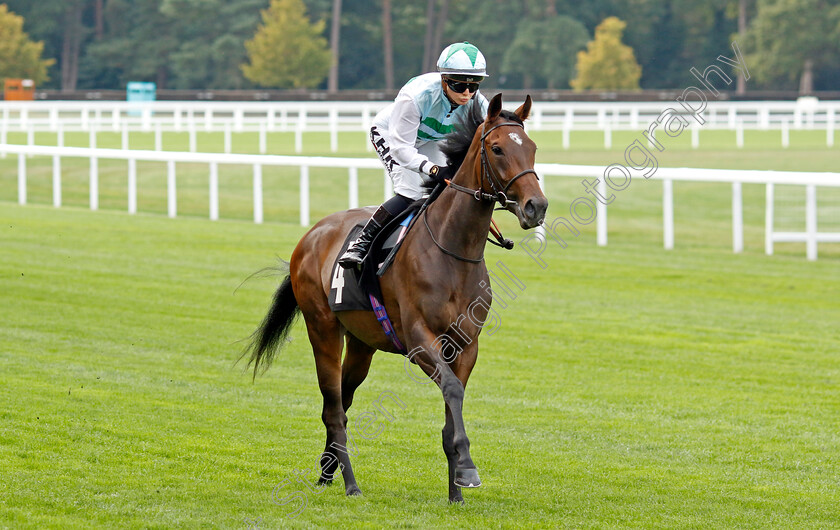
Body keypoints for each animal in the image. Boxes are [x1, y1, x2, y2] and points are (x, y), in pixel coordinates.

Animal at [243, 93, 548, 502]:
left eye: (531, 148)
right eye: (497, 148)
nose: (536, 207)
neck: (453, 251)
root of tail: (311, 234)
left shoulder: (465, 343)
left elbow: (453, 405)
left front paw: (456, 490)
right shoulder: (419, 339)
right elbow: (452, 390)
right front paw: (468, 470)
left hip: (361, 343)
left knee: (343, 399)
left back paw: (327, 472)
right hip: (322, 328)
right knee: (333, 409)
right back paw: (350, 484)